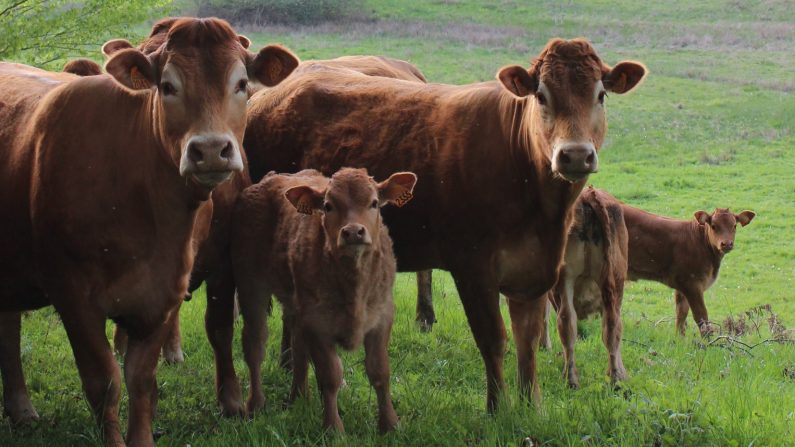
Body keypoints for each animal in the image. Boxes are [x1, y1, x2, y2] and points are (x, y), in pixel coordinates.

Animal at [0, 18, 298, 447]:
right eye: (168, 86)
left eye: (242, 83)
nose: (211, 150)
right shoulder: (72, 295)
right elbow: (104, 382)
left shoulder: (166, 289)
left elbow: (141, 378)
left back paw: (21, 410)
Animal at [230, 168, 416, 434]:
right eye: (328, 206)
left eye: (374, 203)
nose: (353, 232)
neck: (353, 285)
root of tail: (270, 178)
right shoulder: (317, 323)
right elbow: (329, 376)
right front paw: (333, 429)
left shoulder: (382, 317)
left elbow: (380, 371)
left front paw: (390, 425)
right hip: (250, 285)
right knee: (254, 344)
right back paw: (256, 404)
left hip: (294, 304)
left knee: (297, 345)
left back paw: (299, 397)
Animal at [241, 37, 648, 410]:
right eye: (542, 96)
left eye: (600, 95)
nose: (575, 155)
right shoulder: (473, 267)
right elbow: (493, 339)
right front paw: (497, 410)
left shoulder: (534, 272)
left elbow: (528, 342)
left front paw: (531, 406)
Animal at [624, 205, 756, 334]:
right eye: (713, 226)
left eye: (734, 226)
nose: (727, 244)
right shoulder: (692, 283)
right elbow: (701, 316)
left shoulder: (681, 286)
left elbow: (681, 314)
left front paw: (679, 337)